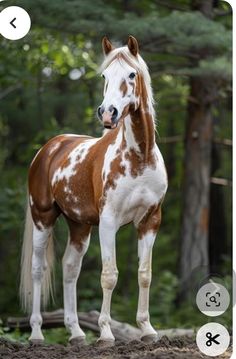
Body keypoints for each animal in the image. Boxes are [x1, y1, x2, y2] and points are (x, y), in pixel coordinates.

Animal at [20, 35, 168, 346]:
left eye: (132, 74)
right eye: (104, 76)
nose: (107, 112)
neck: (140, 157)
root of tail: (49, 148)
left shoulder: (150, 220)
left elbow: (145, 273)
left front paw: (147, 329)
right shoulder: (109, 221)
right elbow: (109, 275)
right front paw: (106, 333)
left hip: (79, 225)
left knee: (69, 268)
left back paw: (76, 333)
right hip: (43, 218)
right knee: (38, 269)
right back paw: (37, 333)